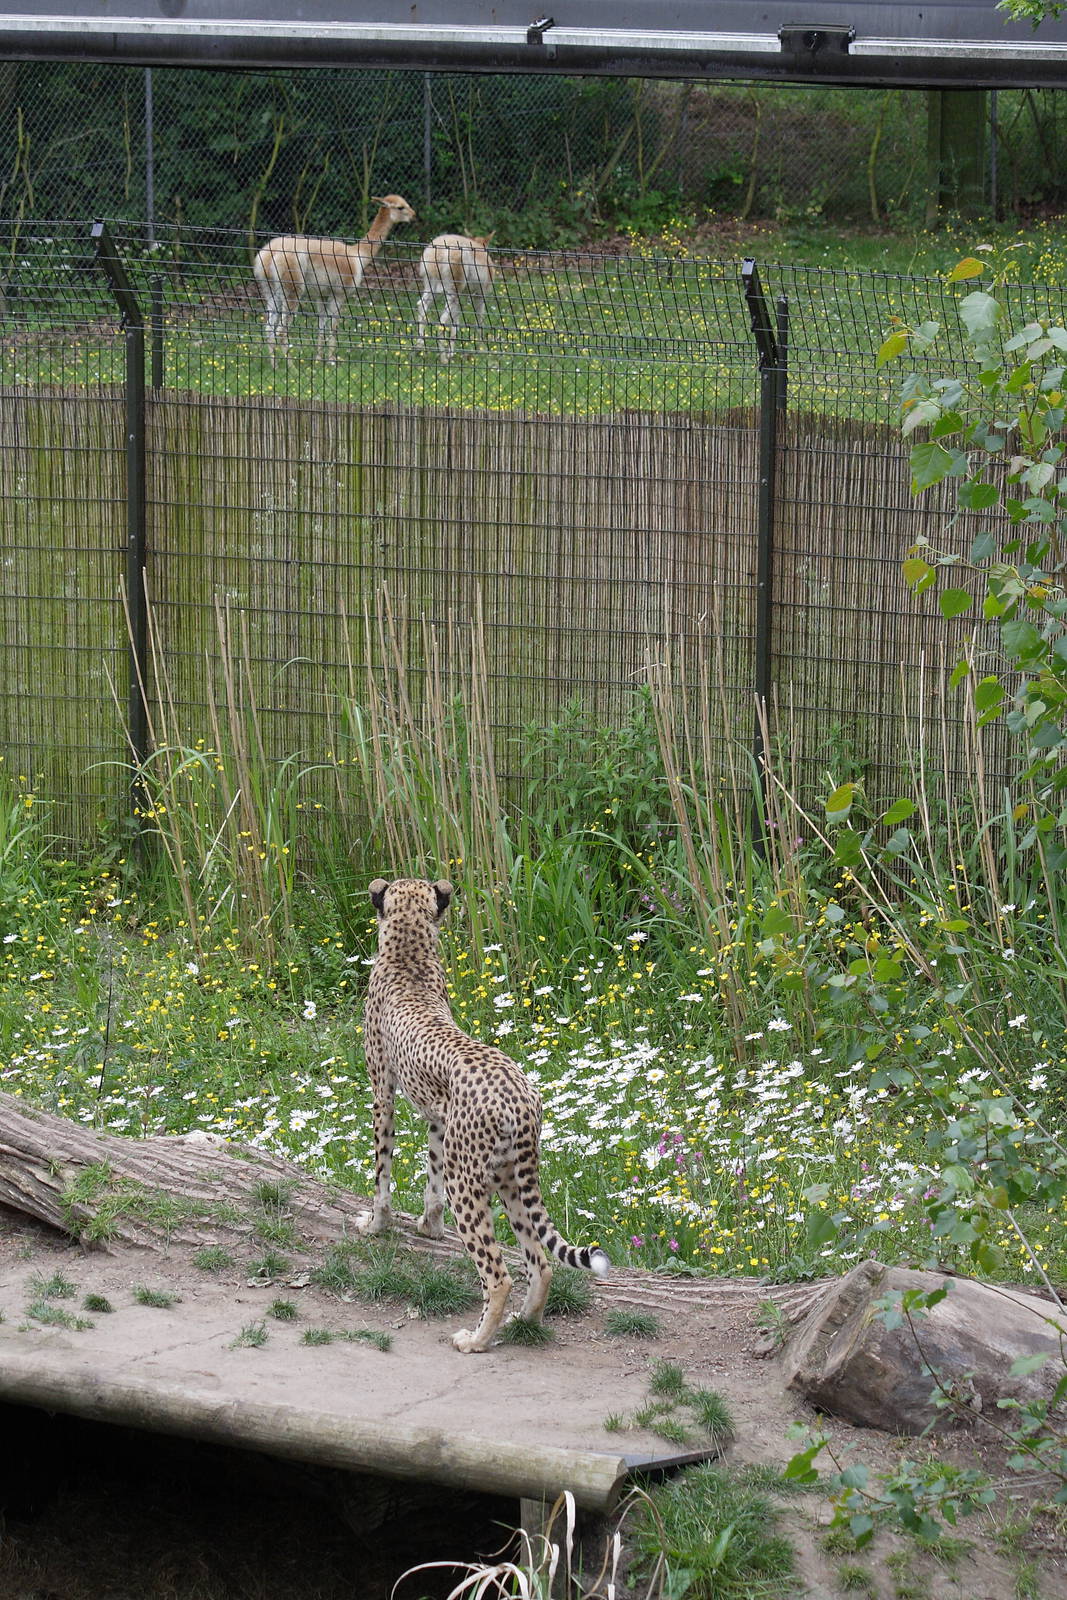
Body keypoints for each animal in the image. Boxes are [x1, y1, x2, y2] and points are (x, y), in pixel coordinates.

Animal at [358, 876, 609, 1353]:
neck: (409, 954)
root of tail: (520, 1097)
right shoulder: (439, 1120)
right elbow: (431, 1178)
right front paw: (429, 1227)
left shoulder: (383, 1095)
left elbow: (382, 1172)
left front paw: (375, 1225)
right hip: (511, 1177)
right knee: (541, 1262)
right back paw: (523, 1322)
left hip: (471, 1183)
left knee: (499, 1275)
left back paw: (475, 1340)